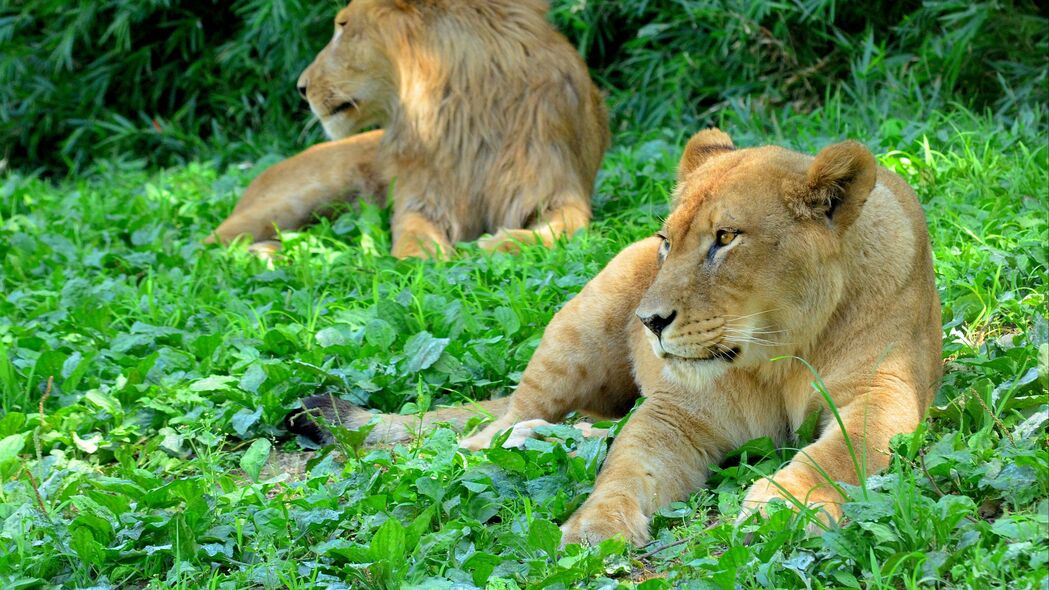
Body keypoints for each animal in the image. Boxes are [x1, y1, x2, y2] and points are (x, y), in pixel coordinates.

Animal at [206, 0, 608, 257]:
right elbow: (411, 233)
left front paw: (500, 244)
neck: (467, 113)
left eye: (343, 26)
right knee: (205, 247)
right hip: (287, 203)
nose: (301, 87)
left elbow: (567, 227)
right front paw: (422, 263)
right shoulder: (423, 198)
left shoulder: (557, 189)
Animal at [287, 127, 944, 541]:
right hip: (578, 325)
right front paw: (593, 528)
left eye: (726, 238)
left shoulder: (885, 390)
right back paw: (495, 447)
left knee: (588, 426)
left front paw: (784, 504)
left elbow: (841, 449)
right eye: (667, 242)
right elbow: (628, 467)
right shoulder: (678, 411)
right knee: (493, 425)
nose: (649, 322)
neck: (777, 355)